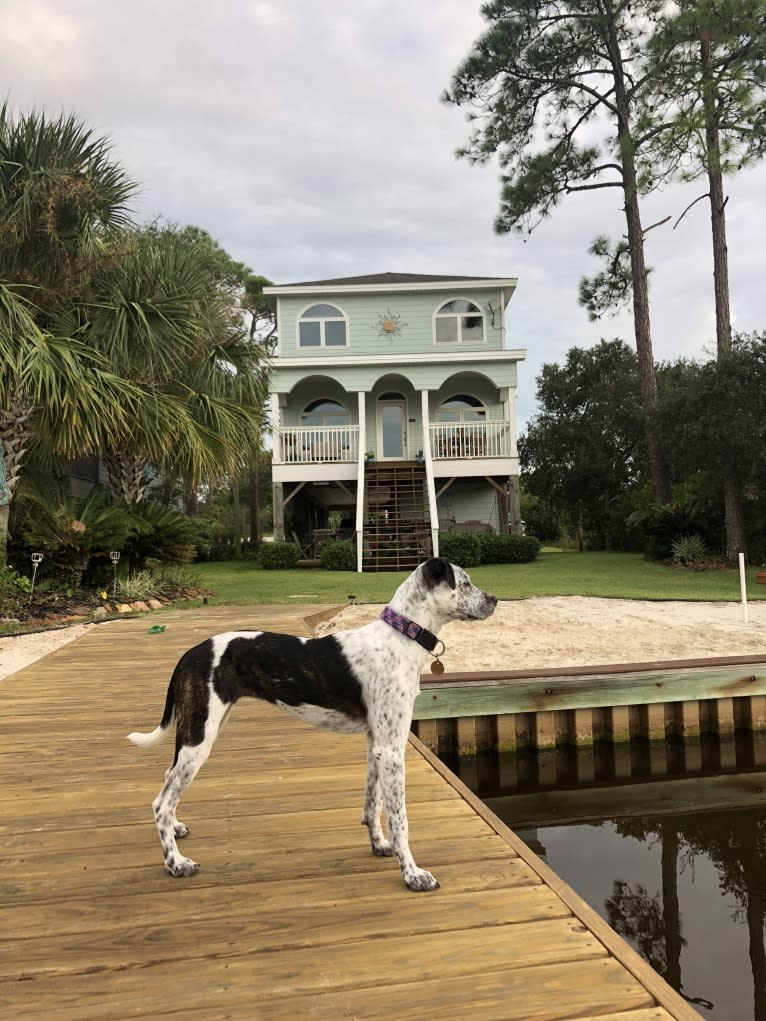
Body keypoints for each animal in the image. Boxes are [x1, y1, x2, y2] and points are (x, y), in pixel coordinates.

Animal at [127, 559, 498, 894]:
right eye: (465, 582)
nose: (494, 599)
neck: (399, 638)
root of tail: (191, 653)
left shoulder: (376, 744)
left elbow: (372, 803)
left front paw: (379, 845)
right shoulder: (392, 749)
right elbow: (400, 820)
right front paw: (412, 874)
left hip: (201, 729)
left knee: (169, 782)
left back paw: (176, 829)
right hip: (200, 735)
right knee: (161, 803)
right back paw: (176, 863)